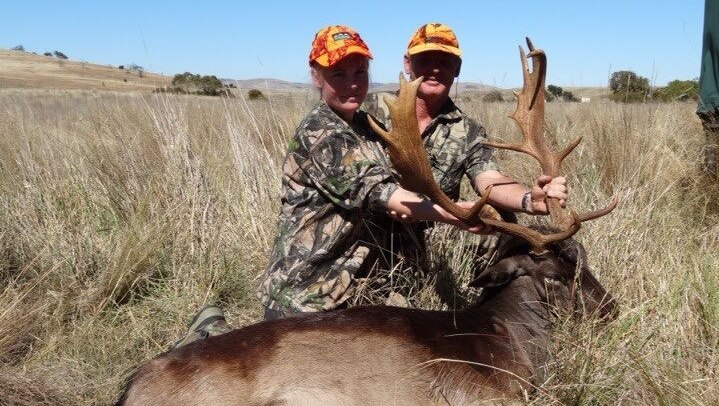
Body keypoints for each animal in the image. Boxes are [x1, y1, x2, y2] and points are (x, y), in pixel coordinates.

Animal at [116, 38, 620, 406]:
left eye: (583, 256)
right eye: (556, 275)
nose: (611, 310)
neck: (504, 338)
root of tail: (132, 386)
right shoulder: (482, 398)